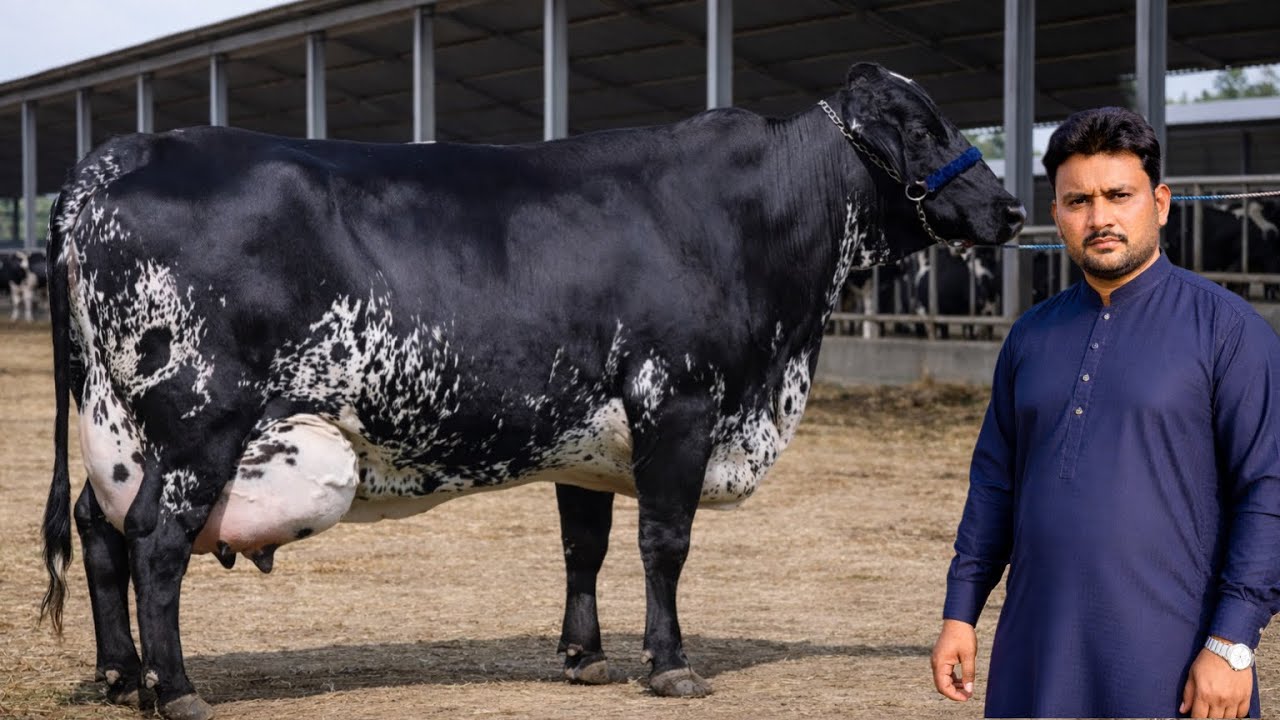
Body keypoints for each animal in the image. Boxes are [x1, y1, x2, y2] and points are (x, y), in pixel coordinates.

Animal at [40, 62, 1024, 720]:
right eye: (924, 128)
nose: (1012, 210)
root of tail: (131, 149)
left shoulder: (589, 435)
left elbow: (583, 545)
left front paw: (583, 655)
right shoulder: (679, 404)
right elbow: (665, 545)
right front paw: (670, 662)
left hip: (117, 430)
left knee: (99, 530)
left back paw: (119, 674)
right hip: (200, 422)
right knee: (157, 543)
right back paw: (177, 689)